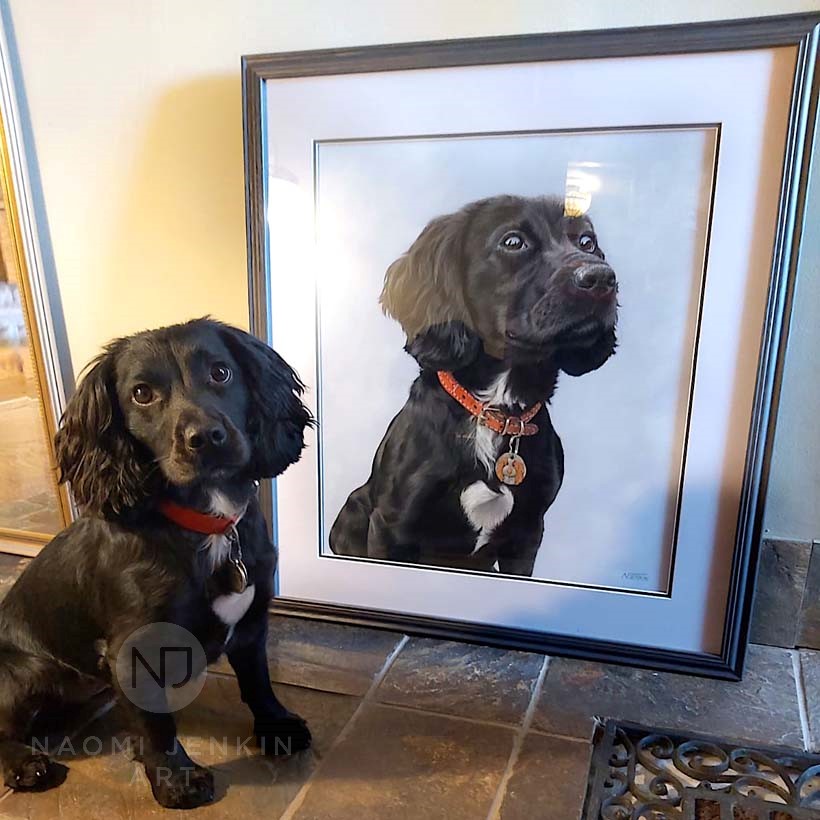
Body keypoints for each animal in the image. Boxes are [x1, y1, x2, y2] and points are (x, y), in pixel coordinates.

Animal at [0, 318, 314, 808]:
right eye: (142, 394)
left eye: (221, 373)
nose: (206, 438)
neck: (208, 524)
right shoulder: (133, 651)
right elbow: (156, 724)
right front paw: (176, 780)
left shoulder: (251, 621)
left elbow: (258, 681)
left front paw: (276, 726)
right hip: (26, 672)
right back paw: (26, 764)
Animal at [330, 194, 620, 576]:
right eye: (513, 242)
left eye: (587, 242)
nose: (602, 279)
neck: (495, 410)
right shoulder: (391, 525)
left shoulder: (527, 533)